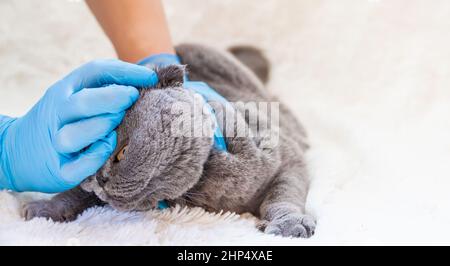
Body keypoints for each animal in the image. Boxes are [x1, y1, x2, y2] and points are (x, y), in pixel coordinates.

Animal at [22, 44, 316, 239]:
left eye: (122, 152)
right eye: (88, 161)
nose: (100, 181)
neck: (200, 186)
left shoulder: (285, 158)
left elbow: (283, 195)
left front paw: (289, 223)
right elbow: (76, 194)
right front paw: (47, 206)